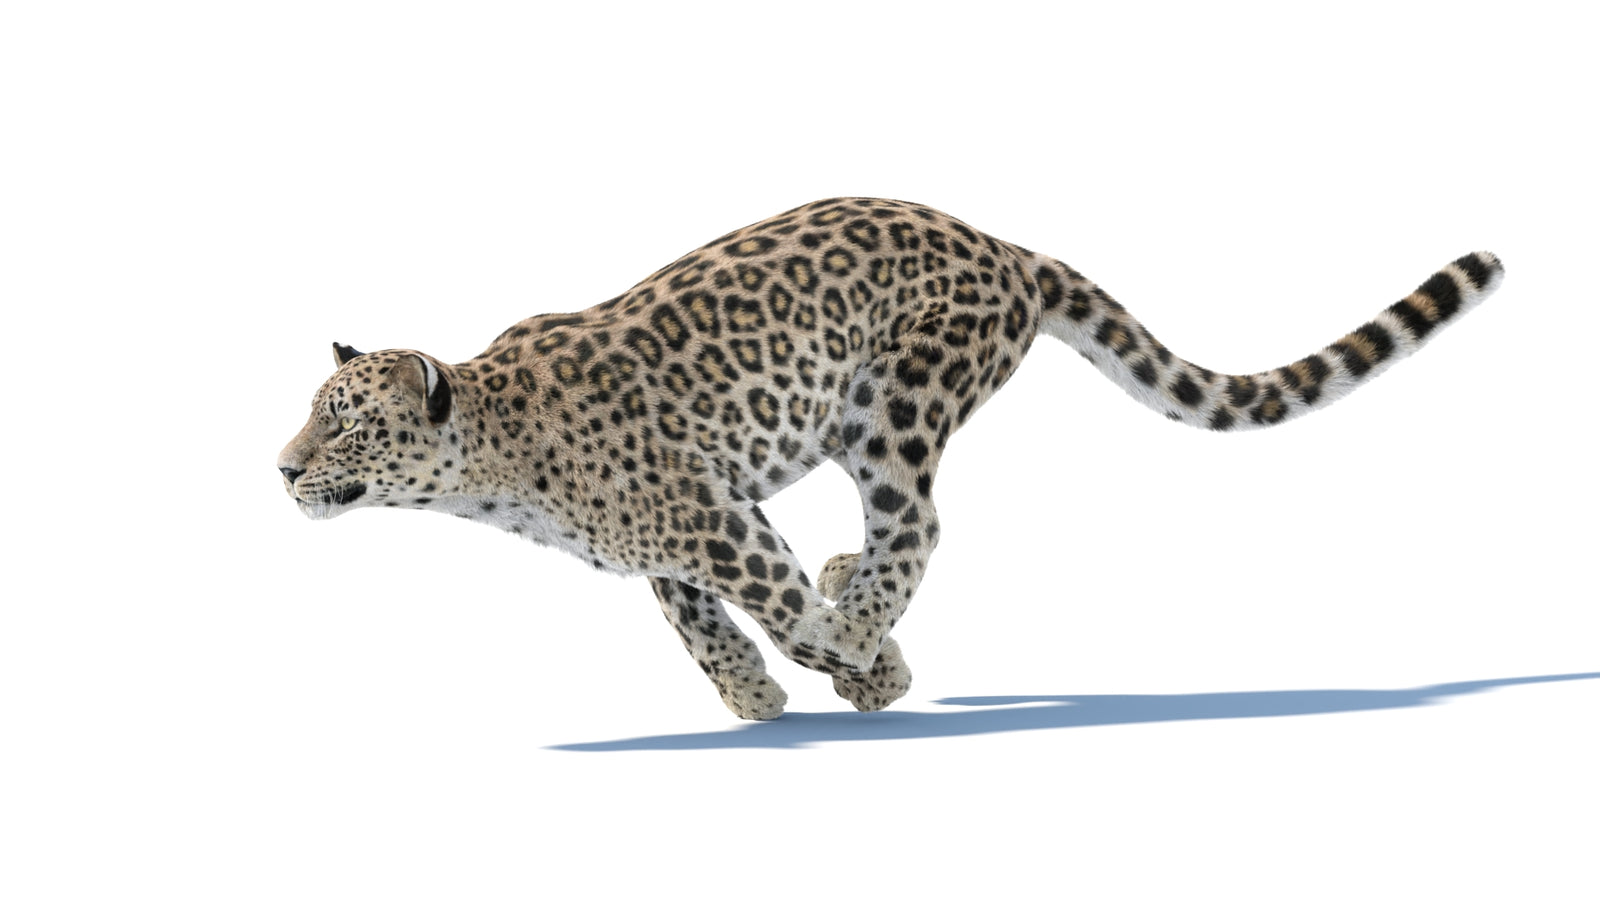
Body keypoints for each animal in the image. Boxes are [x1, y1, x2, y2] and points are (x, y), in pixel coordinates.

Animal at [277, 197, 1503, 720]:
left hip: (897, 405)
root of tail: (1002, 243)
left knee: (917, 521)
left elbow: (772, 602)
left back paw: (860, 616)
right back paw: (847, 592)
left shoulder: (709, 515)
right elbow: (706, 626)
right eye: (312, 415)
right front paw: (764, 699)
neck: (490, 468)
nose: (282, 469)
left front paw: (861, 666)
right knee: (886, 536)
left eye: (343, 420)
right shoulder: (676, 543)